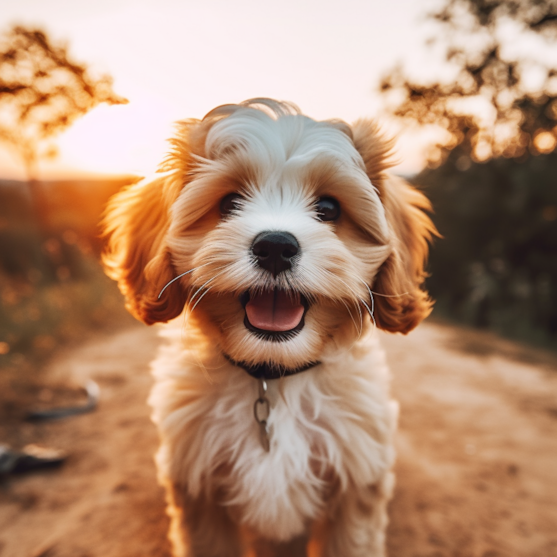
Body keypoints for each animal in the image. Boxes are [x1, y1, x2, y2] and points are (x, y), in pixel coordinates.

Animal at [103, 97, 434, 552]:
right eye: (229, 203)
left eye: (328, 208)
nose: (276, 246)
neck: (272, 377)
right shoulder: (199, 491)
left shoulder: (356, 487)